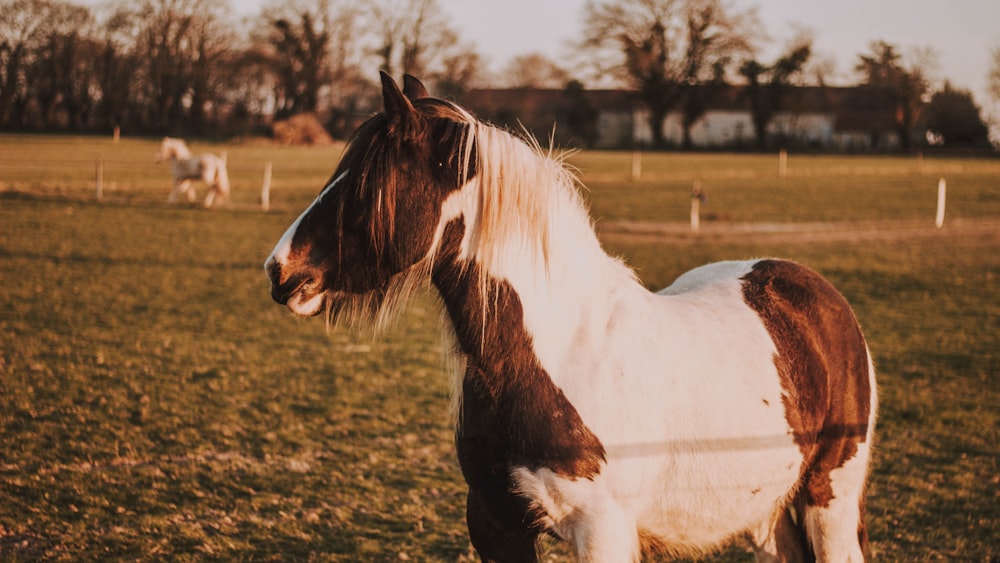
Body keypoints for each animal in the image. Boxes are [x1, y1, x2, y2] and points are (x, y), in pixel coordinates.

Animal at [264, 72, 876, 560]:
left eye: (368, 181)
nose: (279, 269)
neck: (552, 357)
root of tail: (818, 295)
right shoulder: (496, 527)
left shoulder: (601, 532)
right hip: (767, 513)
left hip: (828, 499)